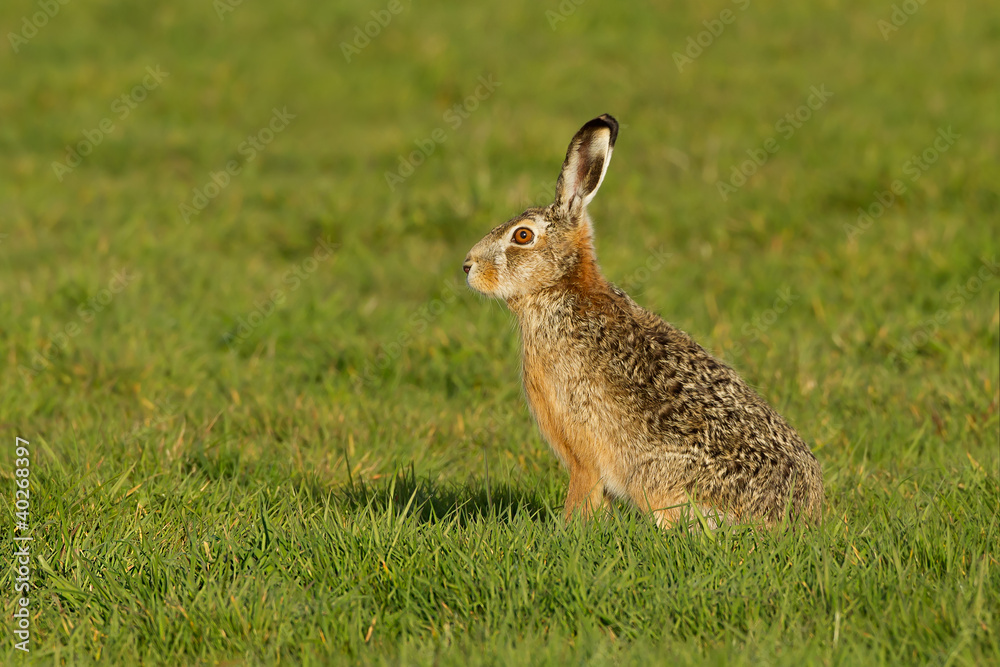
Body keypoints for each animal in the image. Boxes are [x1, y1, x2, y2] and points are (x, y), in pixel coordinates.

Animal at [463, 114, 823, 528]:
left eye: (522, 235)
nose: (467, 266)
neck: (559, 289)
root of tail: (797, 521)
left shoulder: (582, 450)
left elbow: (582, 495)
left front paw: (566, 530)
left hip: (658, 480)